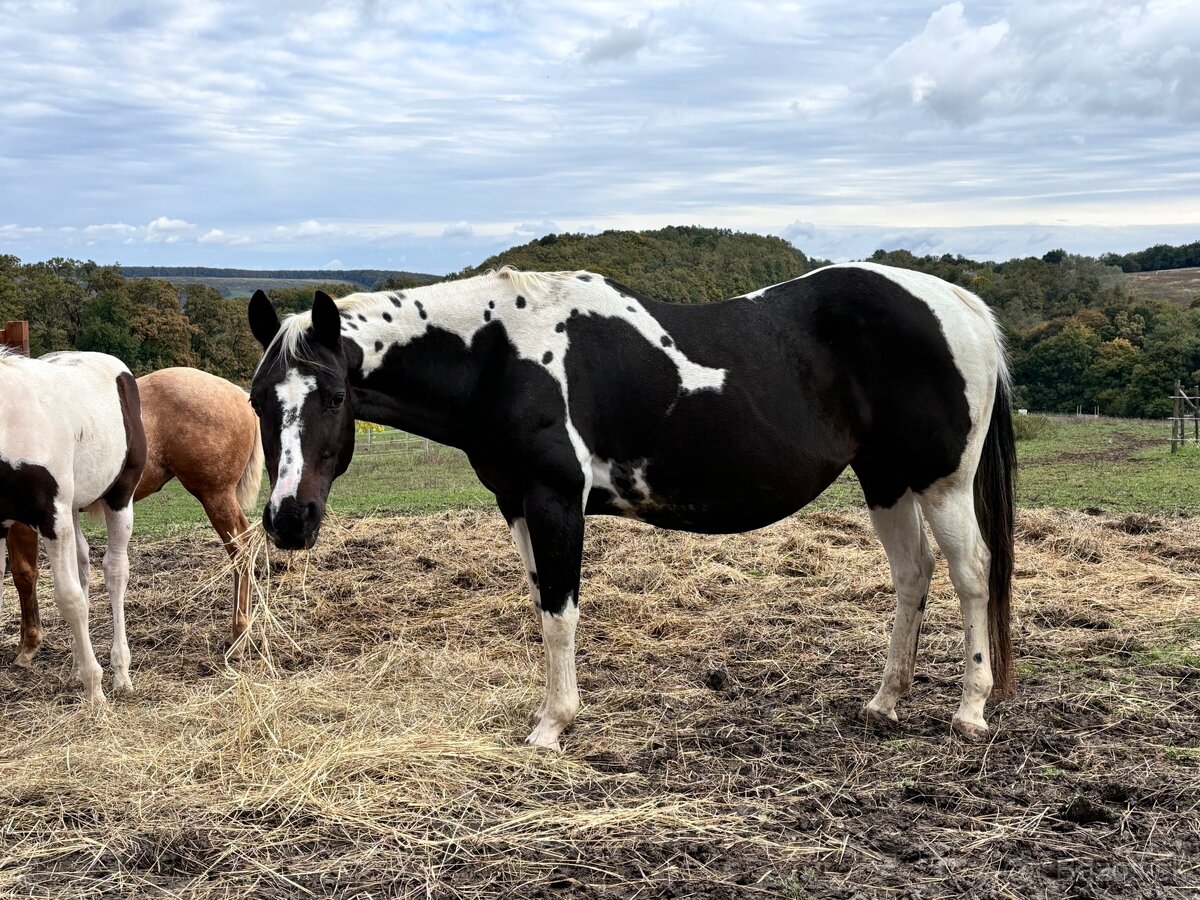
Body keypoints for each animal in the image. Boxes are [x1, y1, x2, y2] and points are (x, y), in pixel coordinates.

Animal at [0, 348, 147, 700]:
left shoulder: (52, 519)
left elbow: (69, 598)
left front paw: (96, 693)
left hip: (120, 496)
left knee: (115, 572)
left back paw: (120, 673)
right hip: (74, 506)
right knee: (82, 567)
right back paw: (75, 667)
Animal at [2, 364, 265, 662]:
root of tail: (237, 393)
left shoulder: (26, 522)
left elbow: (24, 575)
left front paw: (29, 644)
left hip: (216, 496)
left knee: (240, 551)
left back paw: (240, 635)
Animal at [248, 264, 1017, 748]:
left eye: (334, 397)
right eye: (258, 400)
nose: (289, 521)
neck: (500, 355)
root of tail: (962, 307)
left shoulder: (555, 501)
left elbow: (560, 614)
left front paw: (553, 726)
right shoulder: (517, 503)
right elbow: (544, 605)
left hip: (943, 484)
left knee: (971, 574)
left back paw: (969, 710)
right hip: (885, 478)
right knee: (913, 574)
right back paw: (885, 703)